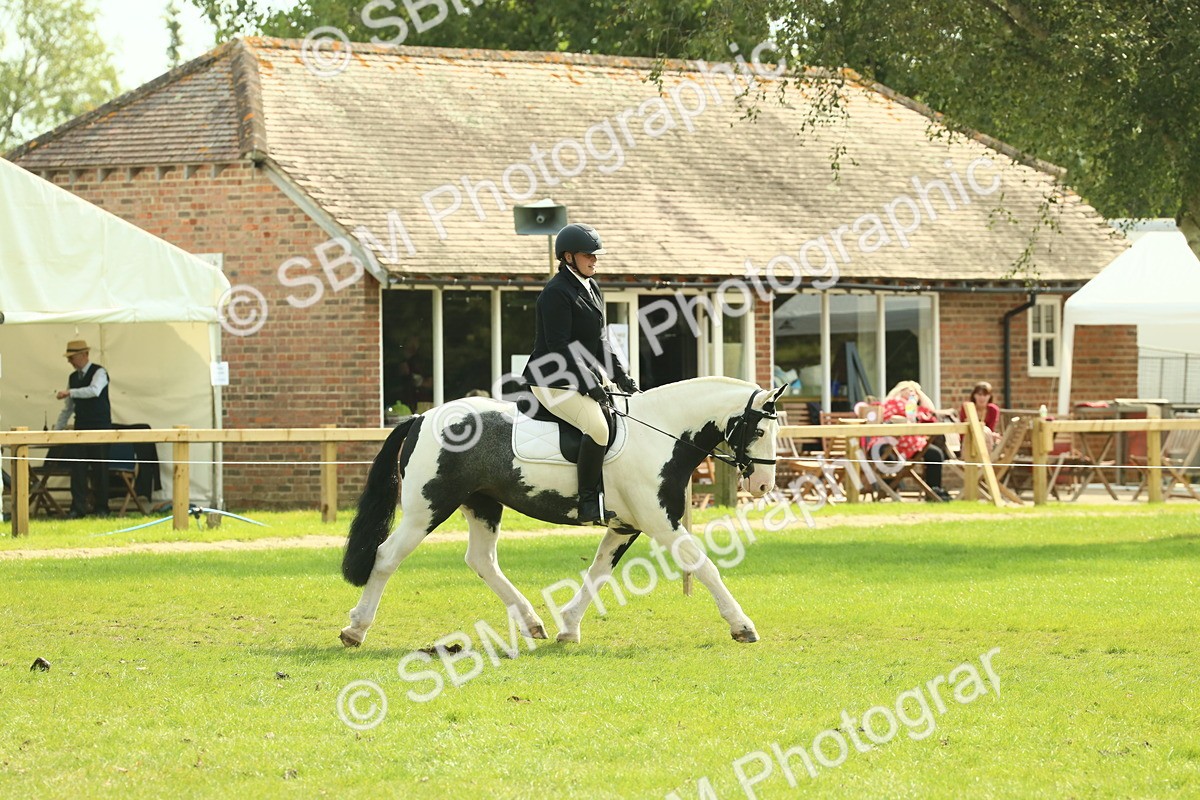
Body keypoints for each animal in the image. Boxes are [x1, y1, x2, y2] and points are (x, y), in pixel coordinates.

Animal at [339, 376, 786, 647]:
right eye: (760, 430)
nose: (764, 486)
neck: (662, 433)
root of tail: (421, 416)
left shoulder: (625, 527)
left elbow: (598, 573)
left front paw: (568, 626)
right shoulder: (662, 523)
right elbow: (705, 566)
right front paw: (742, 626)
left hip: (482, 504)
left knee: (482, 560)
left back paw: (532, 622)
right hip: (427, 509)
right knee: (386, 556)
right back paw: (355, 629)